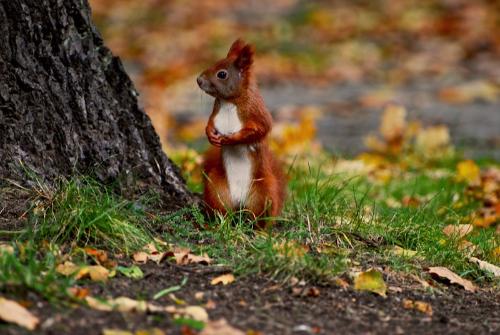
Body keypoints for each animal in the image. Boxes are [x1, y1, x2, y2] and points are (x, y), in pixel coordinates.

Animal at [197, 39, 288, 228]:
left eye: (222, 74)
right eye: (215, 62)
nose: (198, 80)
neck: (230, 101)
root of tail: (239, 201)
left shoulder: (257, 112)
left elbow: (260, 129)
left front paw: (231, 139)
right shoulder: (215, 113)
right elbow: (209, 124)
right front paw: (211, 136)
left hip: (264, 194)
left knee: (260, 218)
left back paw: (259, 230)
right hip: (217, 190)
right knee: (222, 211)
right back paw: (218, 225)